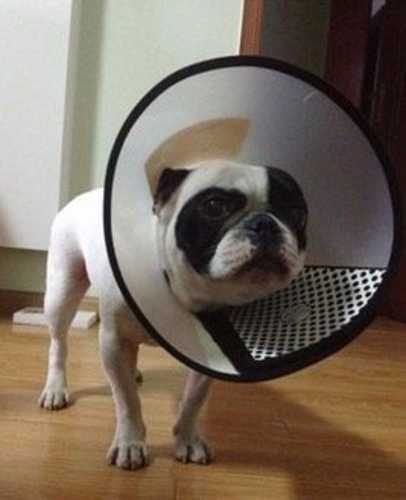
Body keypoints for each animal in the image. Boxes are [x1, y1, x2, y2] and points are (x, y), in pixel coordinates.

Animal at [39, 159, 308, 470]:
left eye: (296, 212)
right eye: (214, 206)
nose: (264, 223)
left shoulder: (206, 358)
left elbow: (193, 399)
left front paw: (188, 440)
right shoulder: (114, 340)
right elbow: (127, 400)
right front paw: (130, 443)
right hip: (62, 290)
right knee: (58, 343)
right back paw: (56, 388)